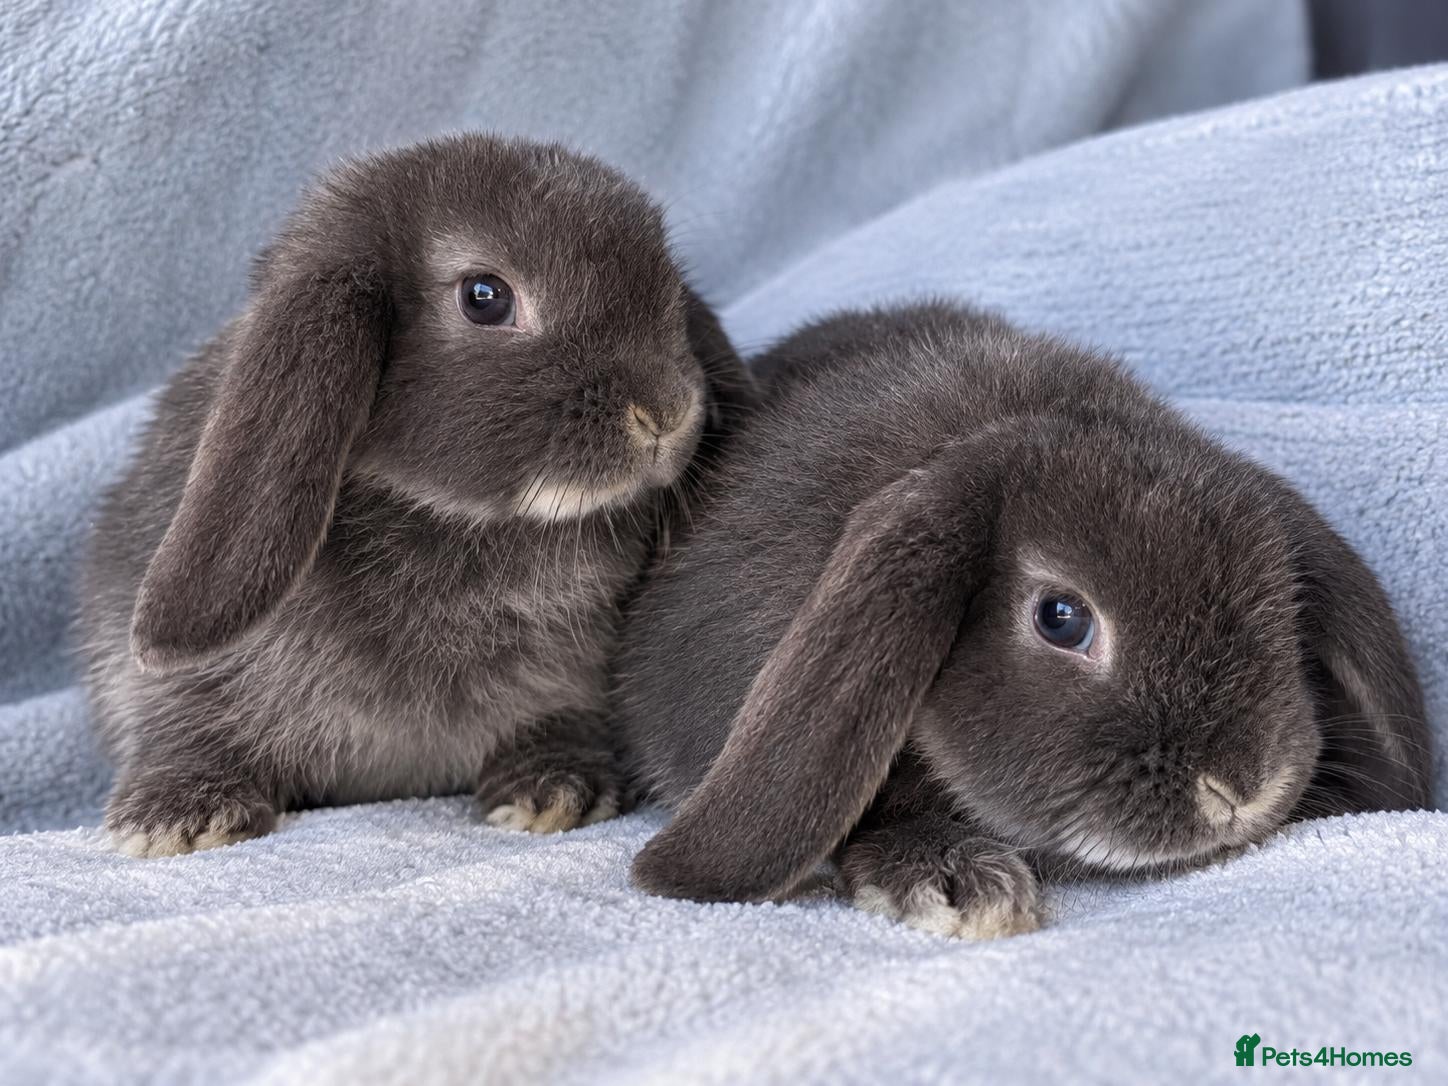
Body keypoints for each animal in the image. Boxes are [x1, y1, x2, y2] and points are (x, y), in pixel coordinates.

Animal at [78, 133, 753, 858]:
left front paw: (556, 789)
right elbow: (185, 719)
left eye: (670, 289)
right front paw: (178, 815)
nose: (668, 411)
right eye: (484, 297)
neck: (453, 520)